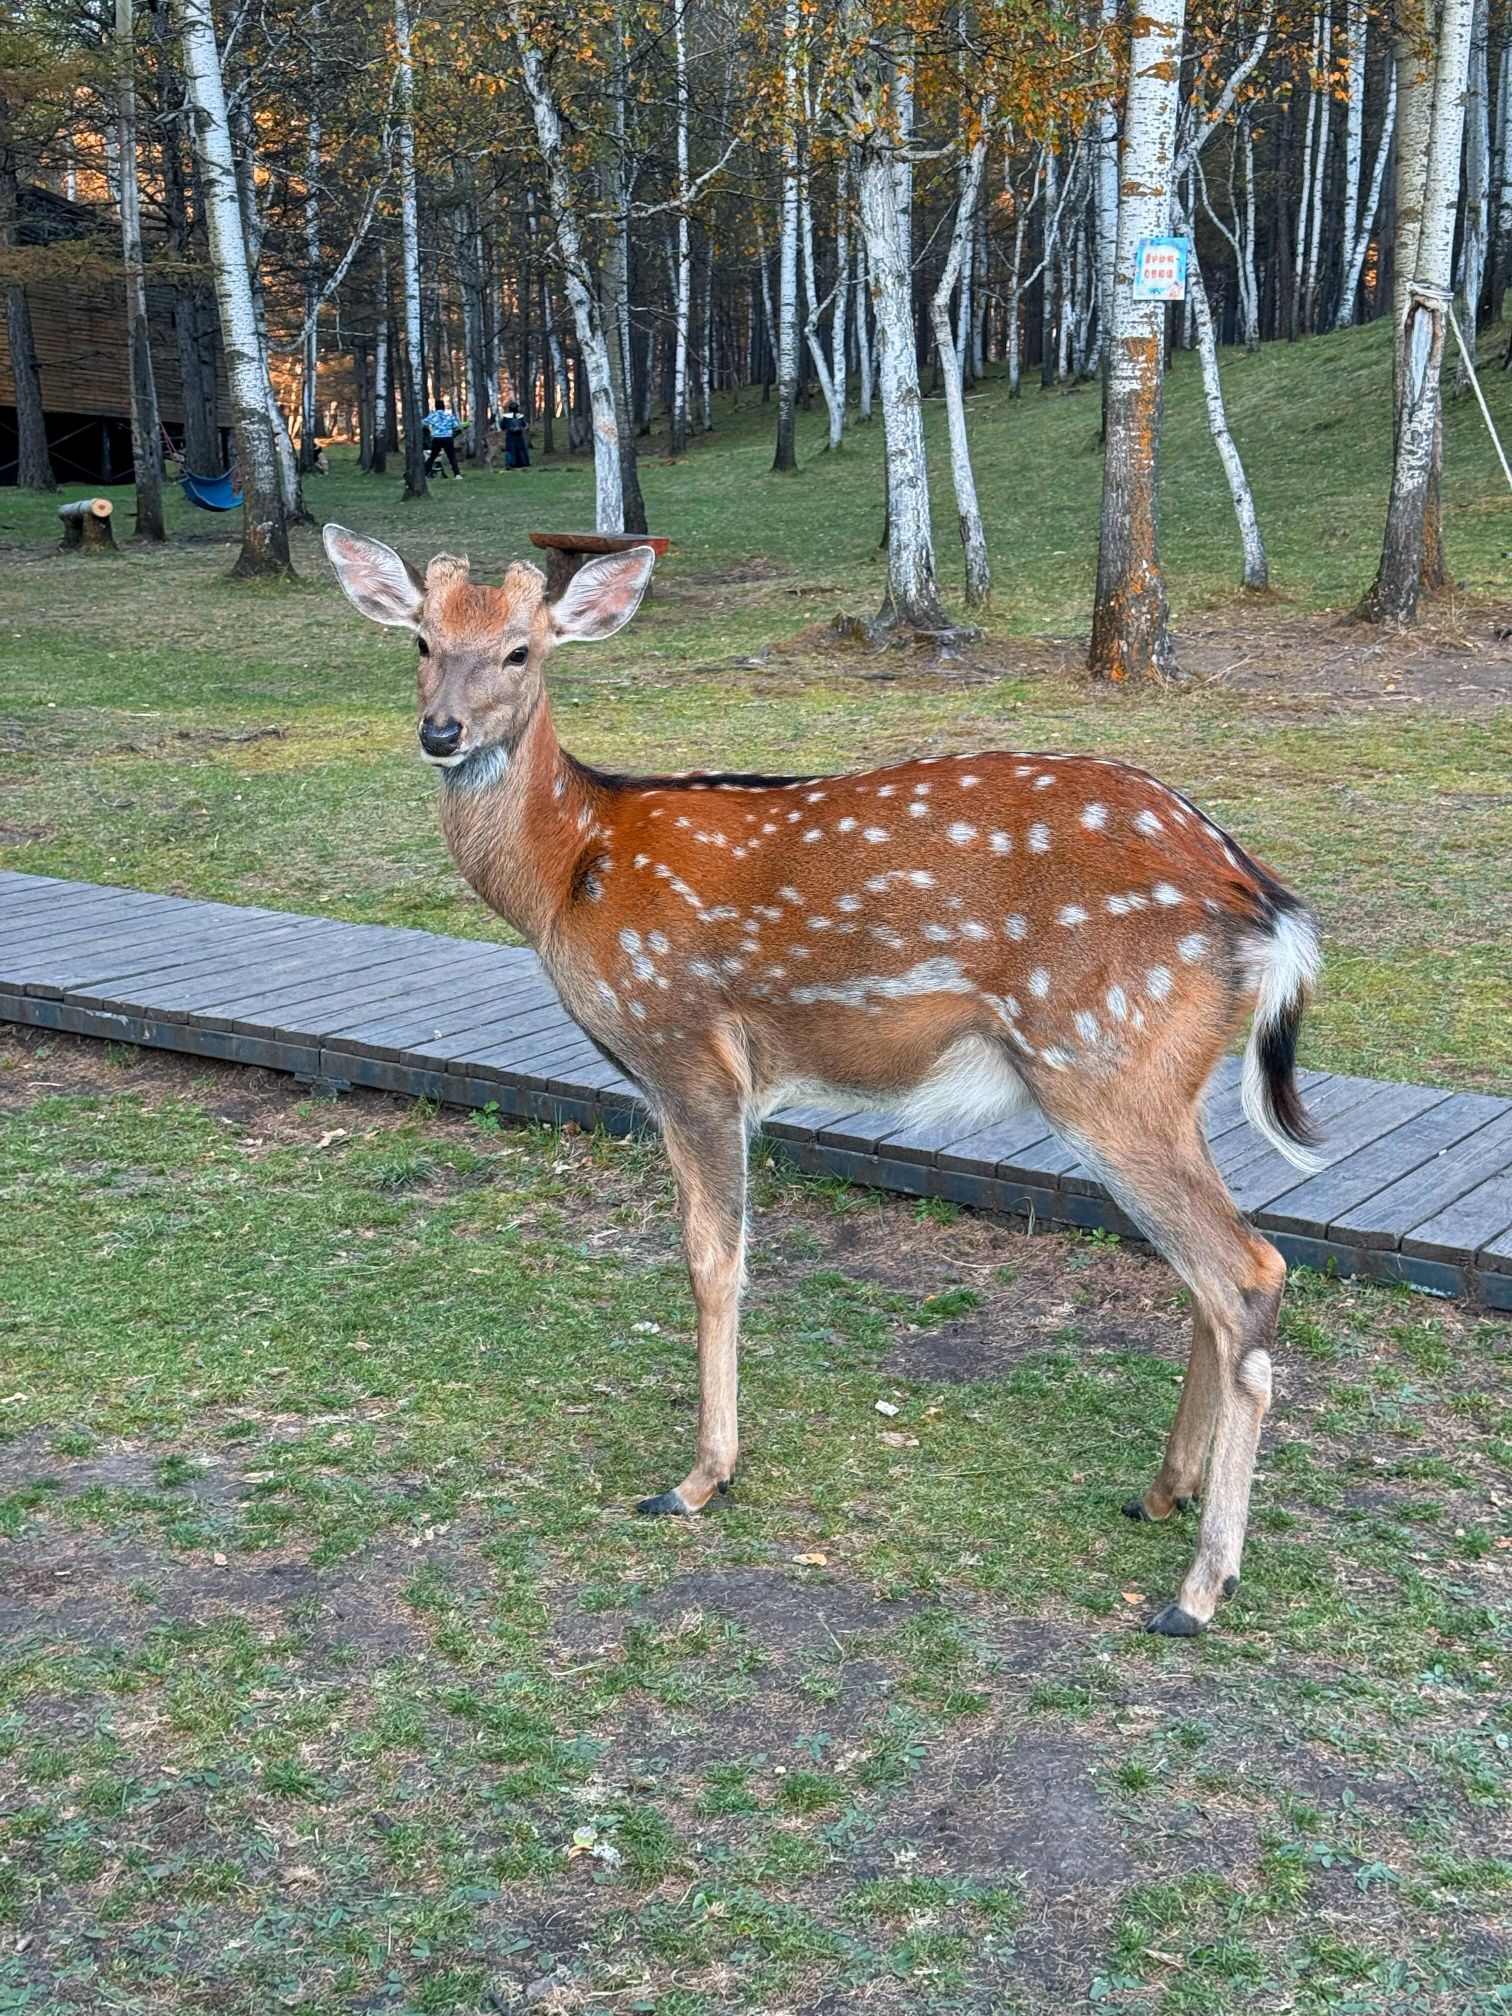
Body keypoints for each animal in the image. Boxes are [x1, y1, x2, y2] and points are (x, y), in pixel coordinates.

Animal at [324, 525, 1322, 1637]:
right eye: (420, 640)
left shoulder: (688, 1051)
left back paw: (1198, 1587)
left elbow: (713, 1262)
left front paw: (699, 1478)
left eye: (519, 651)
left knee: (1248, 1270)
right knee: (1211, 1278)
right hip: (1155, 1078)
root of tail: (1265, 901)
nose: (441, 732)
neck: (567, 873)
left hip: (1106, 1059)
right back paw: (1159, 1494)